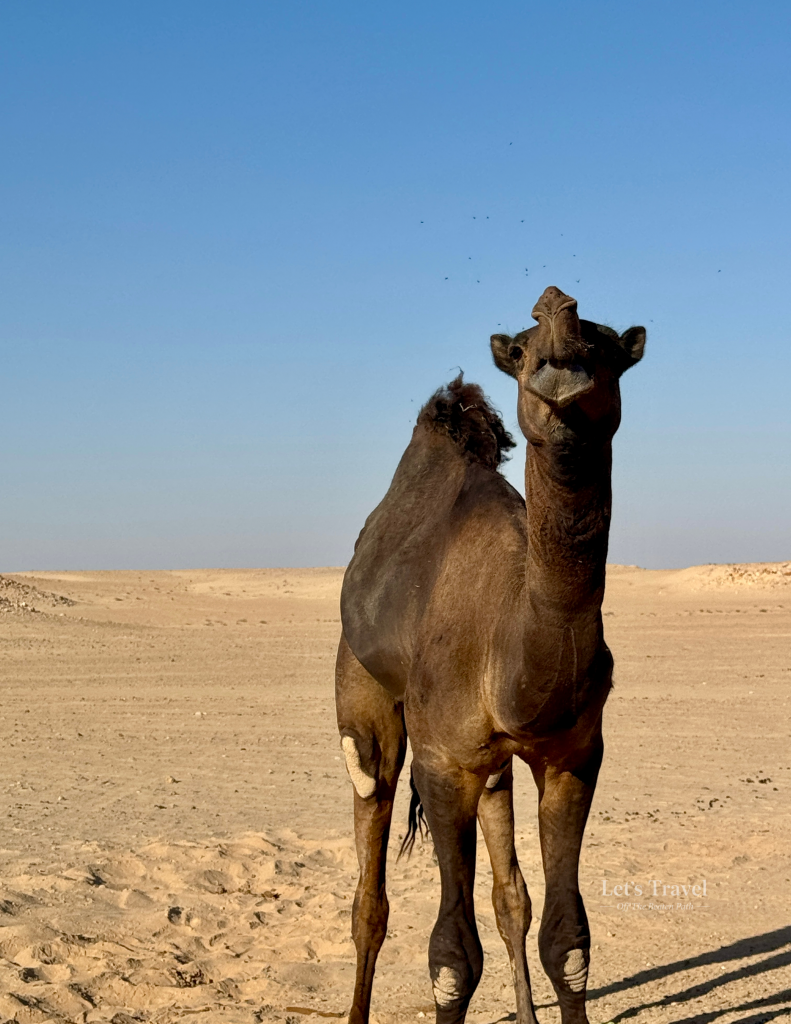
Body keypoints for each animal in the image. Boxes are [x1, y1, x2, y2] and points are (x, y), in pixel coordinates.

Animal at [335, 286, 646, 1024]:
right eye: (525, 352)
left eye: (601, 347)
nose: (555, 307)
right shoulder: (443, 765)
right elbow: (452, 958)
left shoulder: (572, 756)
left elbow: (567, 941)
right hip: (363, 689)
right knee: (369, 869)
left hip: (497, 767)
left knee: (511, 896)